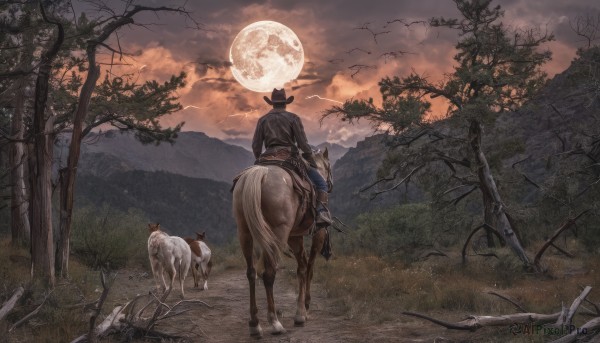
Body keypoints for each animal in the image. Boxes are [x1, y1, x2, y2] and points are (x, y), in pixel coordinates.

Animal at [232, 149, 332, 338]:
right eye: (329, 166)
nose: (329, 184)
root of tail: (260, 173)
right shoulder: (319, 233)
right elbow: (309, 268)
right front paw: (304, 308)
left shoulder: (294, 236)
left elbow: (302, 268)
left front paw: (301, 312)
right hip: (278, 232)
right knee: (269, 274)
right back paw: (275, 323)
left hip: (245, 232)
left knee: (251, 273)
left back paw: (255, 324)